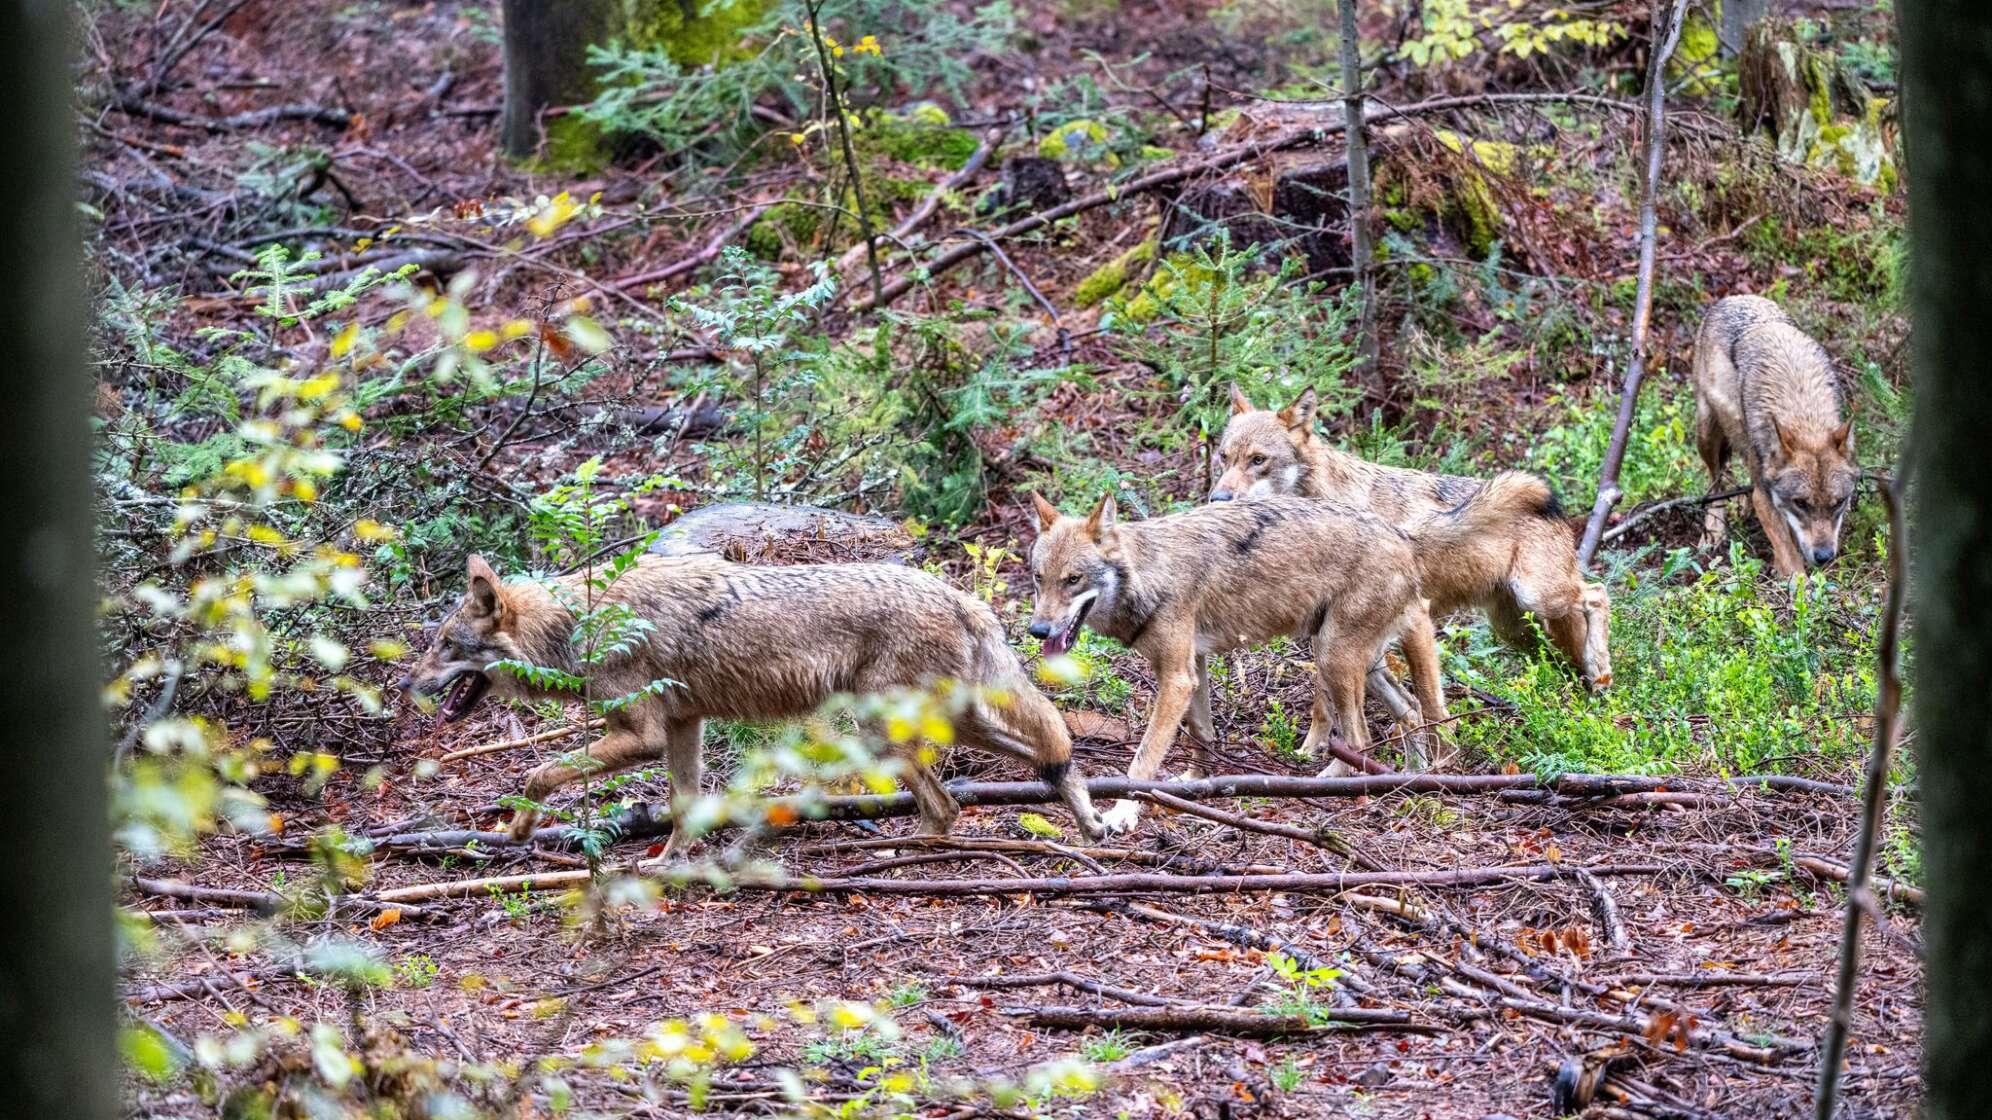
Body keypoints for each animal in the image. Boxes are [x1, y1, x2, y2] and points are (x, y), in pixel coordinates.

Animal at [399, 554, 1106, 854]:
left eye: (444, 646)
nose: (405, 686)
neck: (579, 627)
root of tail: (962, 597)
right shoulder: (684, 727)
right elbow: (684, 809)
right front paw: (669, 867)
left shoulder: (642, 738)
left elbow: (536, 773)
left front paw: (519, 830)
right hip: (954, 722)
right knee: (1052, 752)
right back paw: (1091, 826)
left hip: (884, 735)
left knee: (948, 806)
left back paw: (895, 855)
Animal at [1026, 492, 1449, 831]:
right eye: (1038, 578)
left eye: (1073, 580)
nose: (1037, 630)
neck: (1149, 575)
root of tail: (1404, 539)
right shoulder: (1193, 668)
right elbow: (1201, 733)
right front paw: (1196, 781)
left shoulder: (1176, 678)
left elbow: (1142, 761)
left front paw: (1123, 813)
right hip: (1356, 662)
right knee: (1411, 710)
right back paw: (1409, 778)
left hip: (1334, 658)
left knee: (1360, 737)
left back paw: (1330, 783)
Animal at [1210, 384, 1612, 690]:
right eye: (1223, 457)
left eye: (1258, 460)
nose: (1218, 498)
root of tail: (1559, 518)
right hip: (1515, 628)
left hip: (1539, 598)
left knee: (1598, 593)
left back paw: (1601, 670)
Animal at [1692, 295, 1858, 578]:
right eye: (1801, 503)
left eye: (1838, 503)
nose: (1824, 556)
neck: (1802, 407)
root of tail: (1733, 298)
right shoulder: (1764, 496)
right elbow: (1789, 555)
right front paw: (1797, 583)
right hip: (1706, 434)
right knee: (1716, 480)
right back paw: (1714, 529)